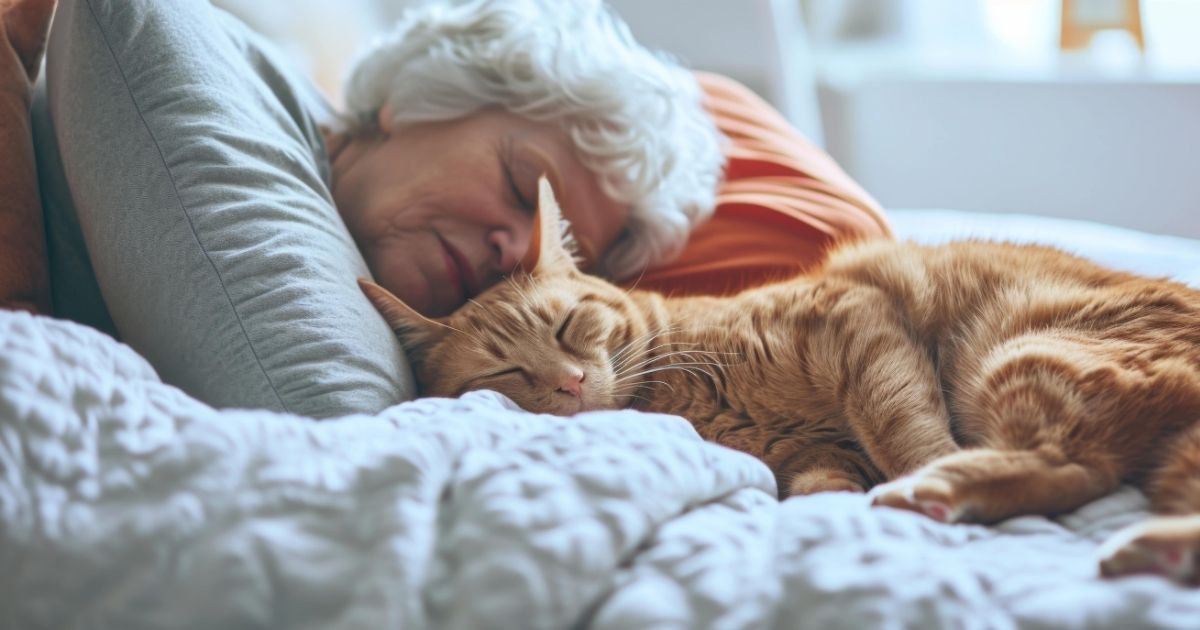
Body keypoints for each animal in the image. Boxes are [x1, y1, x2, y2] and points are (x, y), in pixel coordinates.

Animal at [360, 176, 1200, 585]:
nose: (568, 383)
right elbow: (821, 487)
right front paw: (838, 513)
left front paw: (916, 473)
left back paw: (932, 491)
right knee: (1086, 472)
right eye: (507, 370)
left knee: (1071, 464)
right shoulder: (816, 454)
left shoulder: (857, 325)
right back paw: (1153, 551)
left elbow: (904, 431)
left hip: (1026, 356)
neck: (685, 386)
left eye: (569, 327)